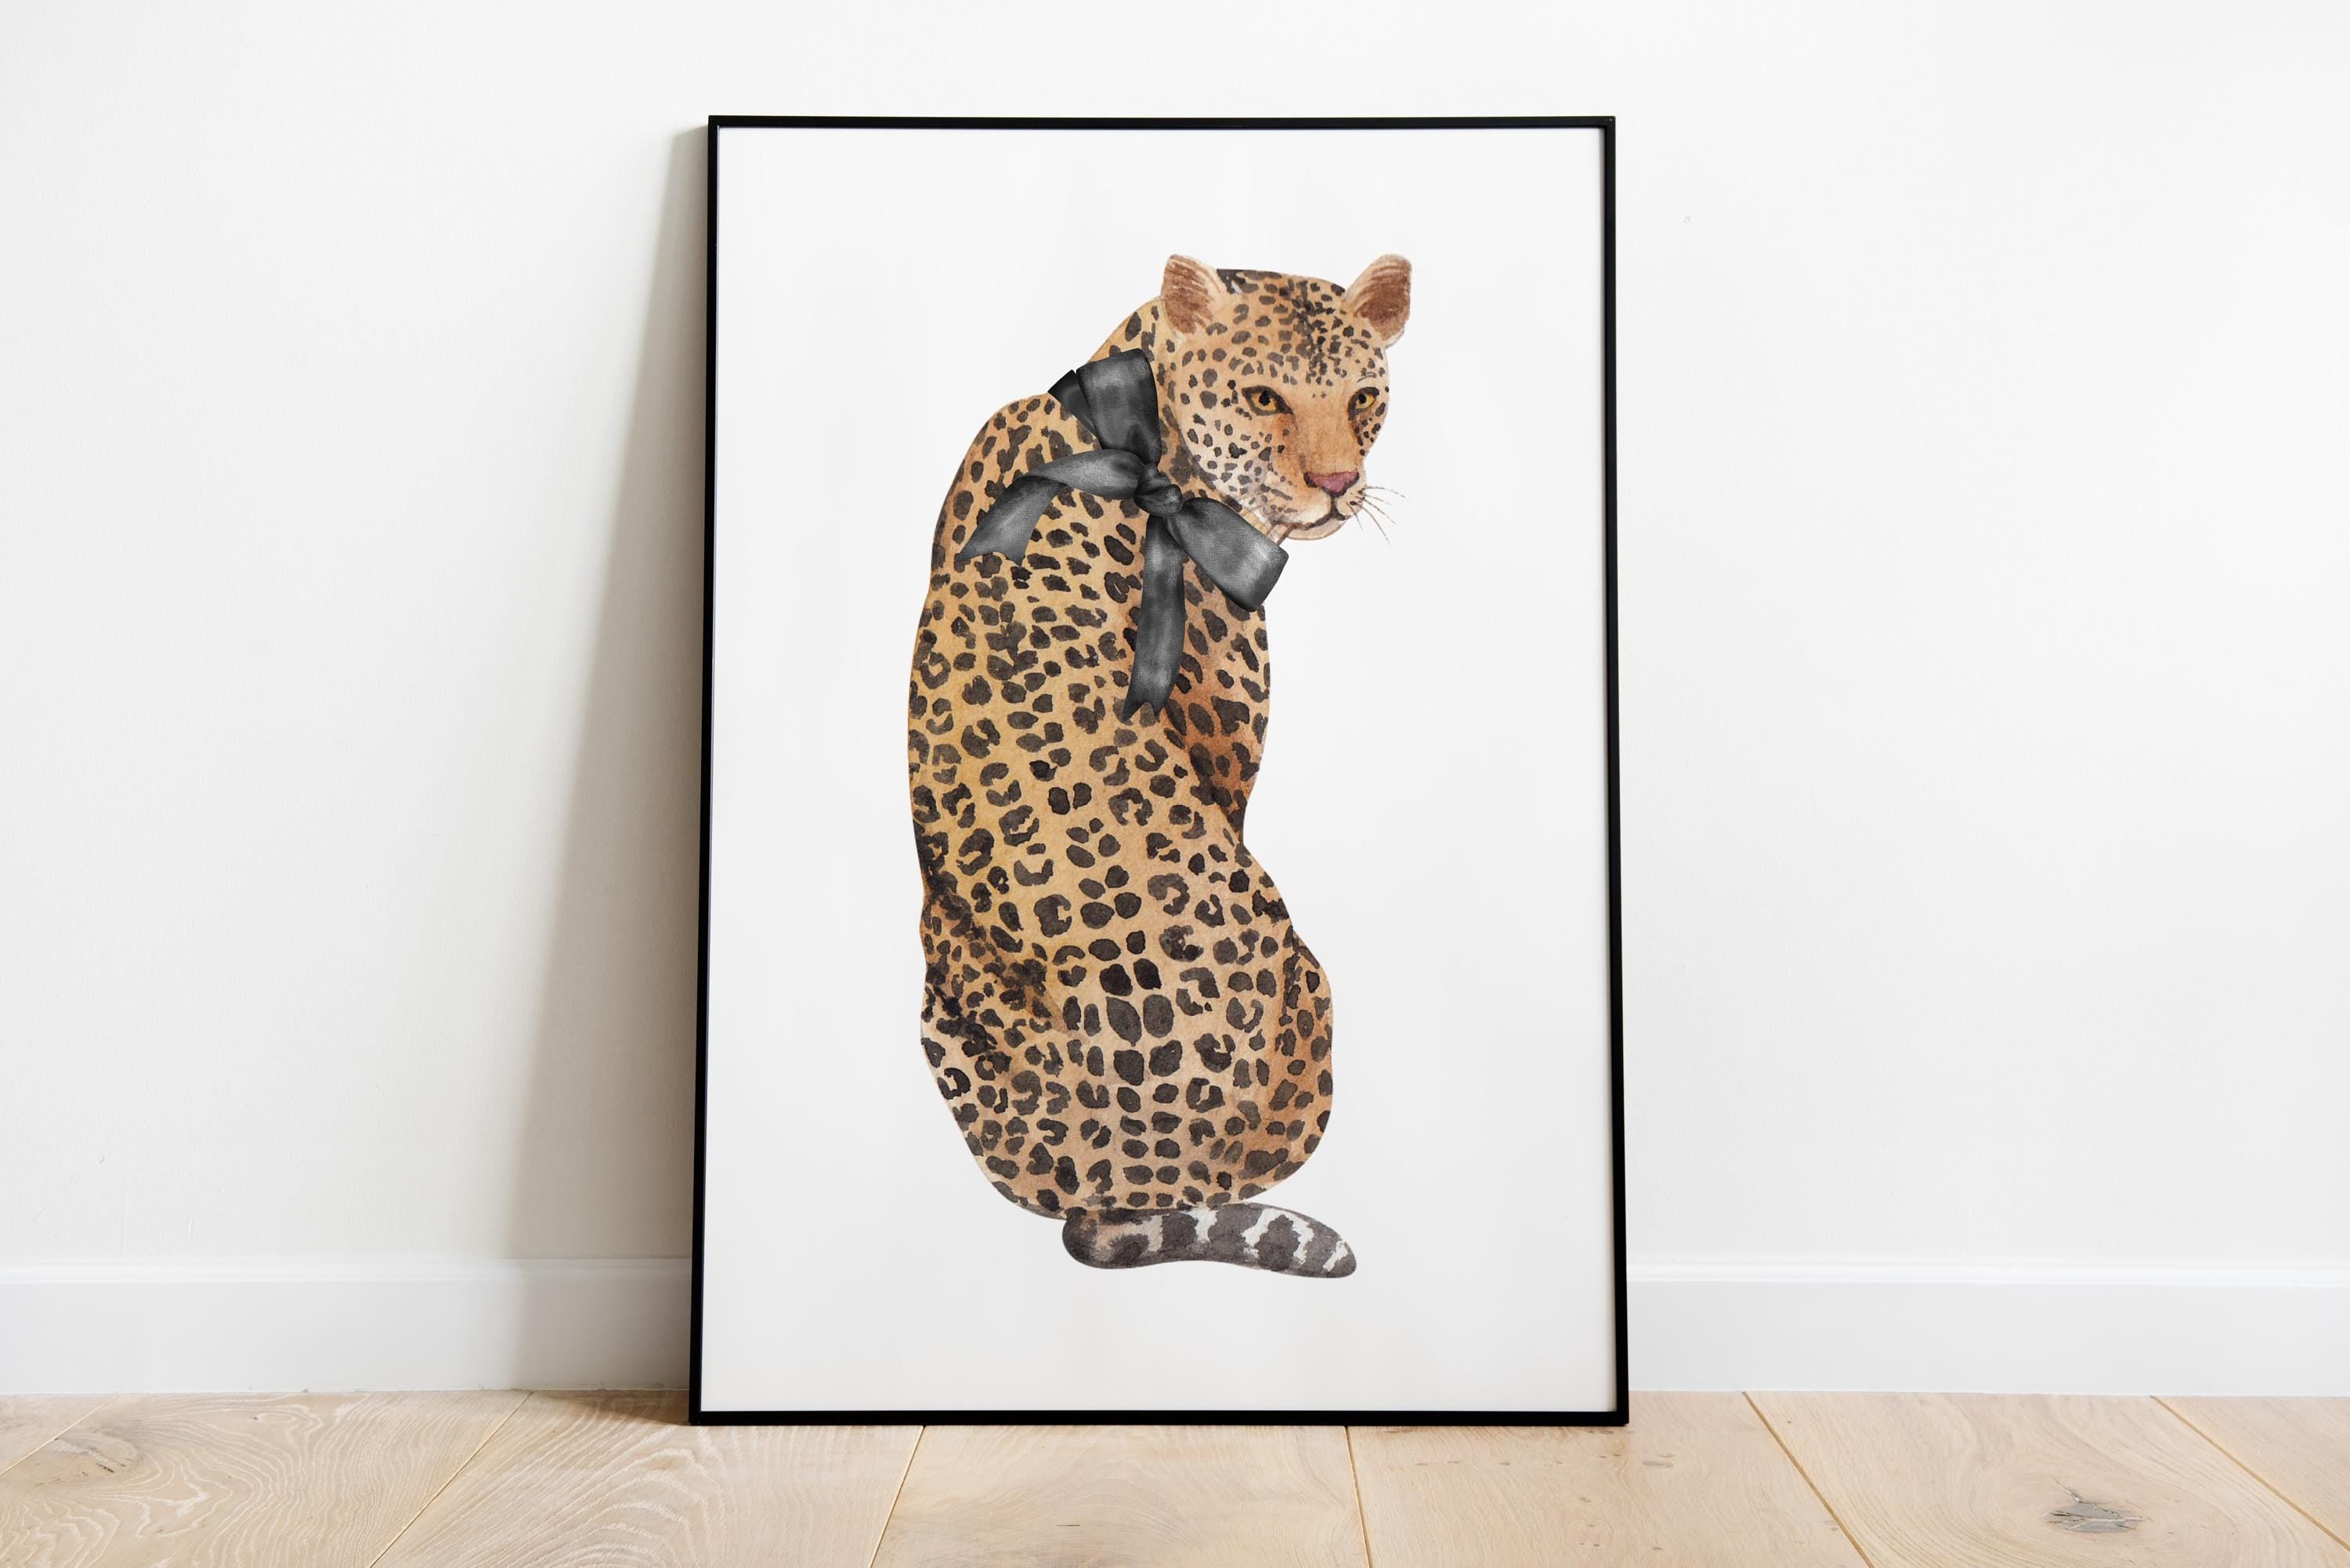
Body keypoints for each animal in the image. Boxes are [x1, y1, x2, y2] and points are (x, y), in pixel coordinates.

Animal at [906, 253, 1411, 1278]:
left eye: (1364, 397)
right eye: (1263, 397)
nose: (1339, 483)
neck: (1133, 431)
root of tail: (1107, 1187)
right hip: (1310, 983)